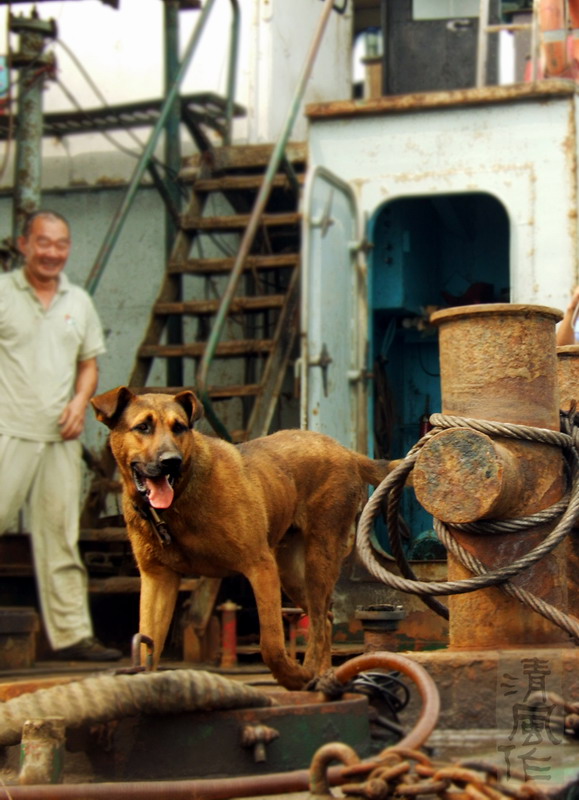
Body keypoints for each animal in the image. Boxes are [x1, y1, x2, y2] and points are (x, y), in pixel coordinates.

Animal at [92, 388, 394, 688]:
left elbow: (271, 645)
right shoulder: (158, 578)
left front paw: (292, 675)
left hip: (320, 555)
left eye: (179, 427)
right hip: (291, 572)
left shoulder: (260, 566)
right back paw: (323, 676)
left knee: (319, 623)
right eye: (143, 427)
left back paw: (310, 674)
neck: (178, 499)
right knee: (327, 619)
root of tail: (348, 452)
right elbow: (148, 645)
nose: (171, 462)